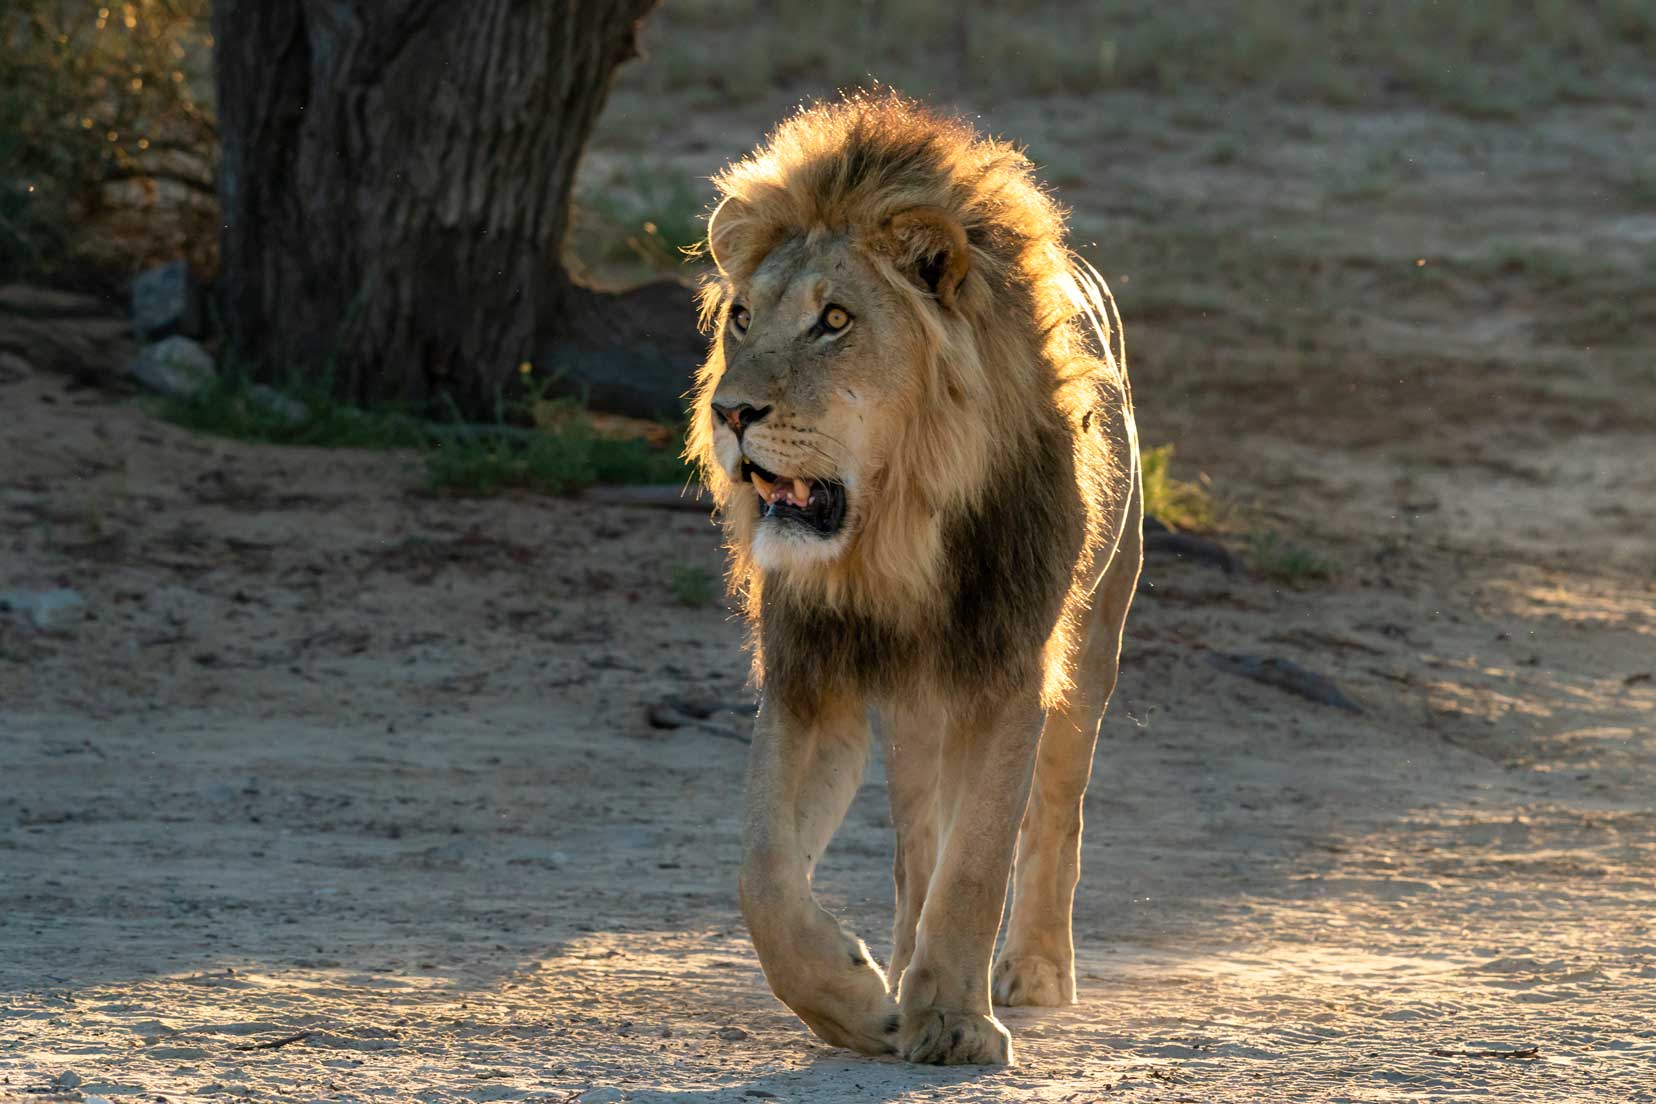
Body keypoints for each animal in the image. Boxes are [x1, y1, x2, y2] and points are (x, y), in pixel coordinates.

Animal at [685, 97, 1139, 1072]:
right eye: (740, 317)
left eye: (835, 320)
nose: (730, 412)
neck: (890, 541)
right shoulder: (810, 678)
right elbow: (761, 874)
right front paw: (858, 1005)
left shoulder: (1007, 670)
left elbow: (979, 862)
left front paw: (957, 1024)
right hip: (915, 709)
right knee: (914, 848)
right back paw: (902, 970)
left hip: (1092, 644)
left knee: (1057, 811)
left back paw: (1033, 970)